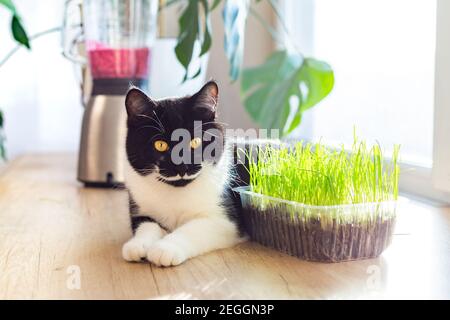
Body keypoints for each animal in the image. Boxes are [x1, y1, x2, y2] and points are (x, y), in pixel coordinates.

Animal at [122, 81, 246, 266]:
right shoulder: (139, 205)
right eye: (160, 145)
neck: (177, 192)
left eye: (195, 142)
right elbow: (146, 224)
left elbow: (193, 228)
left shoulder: (225, 221)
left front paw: (165, 248)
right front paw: (138, 244)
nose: (182, 167)